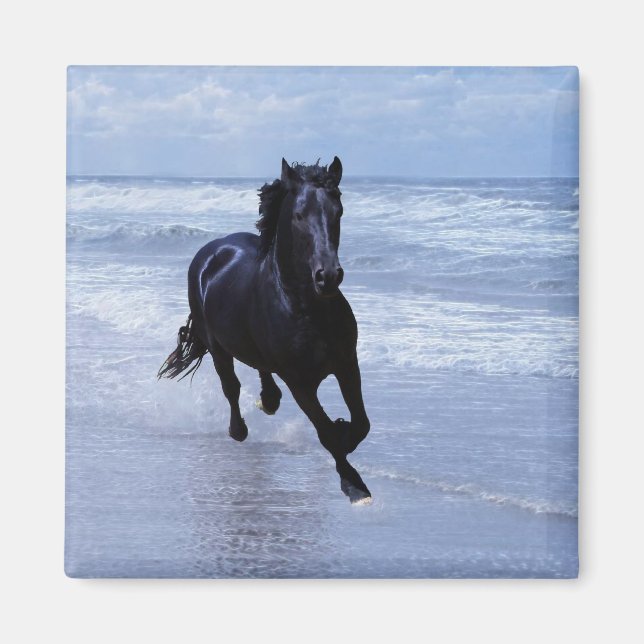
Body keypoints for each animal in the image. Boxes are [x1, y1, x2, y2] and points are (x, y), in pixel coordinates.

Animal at [158, 157, 372, 504]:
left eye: (338, 211)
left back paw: (268, 401)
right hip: (216, 345)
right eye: (299, 215)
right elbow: (325, 432)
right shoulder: (300, 382)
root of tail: (211, 250)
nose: (328, 276)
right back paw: (238, 429)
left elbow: (361, 424)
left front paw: (346, 433)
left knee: (261, 370)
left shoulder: (346, 364)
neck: (306, 308)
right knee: (230, 387)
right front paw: (355, 486)